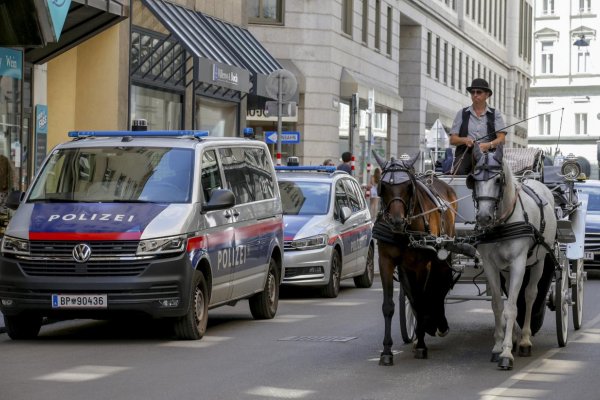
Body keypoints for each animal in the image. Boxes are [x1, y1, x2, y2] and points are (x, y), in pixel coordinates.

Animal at [376, 153, 460, 366]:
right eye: (383, 186)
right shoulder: (386, 262)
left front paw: (422, 345)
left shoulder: (422, 265)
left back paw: (437, 323)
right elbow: (389, 306)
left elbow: (422, 300)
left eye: (408, 186)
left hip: (440, 257)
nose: (396, 221)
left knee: (439, 286)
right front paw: (387, 351)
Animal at [468, 145, 556, 370]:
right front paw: (498, 346)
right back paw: (516, 336)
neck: (502, 223)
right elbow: (499, 306)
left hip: (538, 262)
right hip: (506, 269)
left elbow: (513, 308)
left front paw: (507, 353)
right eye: (473, 179)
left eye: (498, 180)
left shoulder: (518, 263)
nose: (483, 217)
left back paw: (523, 340)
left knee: (530, 295)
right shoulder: (491, 265)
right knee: (510, 294)